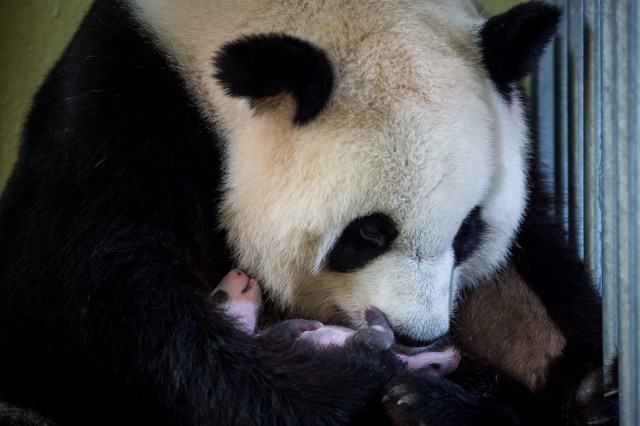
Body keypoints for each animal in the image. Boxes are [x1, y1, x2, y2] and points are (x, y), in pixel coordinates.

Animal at [0, 0, 616, 424]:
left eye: (468, 231)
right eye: (369, 232)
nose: (417, 336)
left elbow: (545, 313)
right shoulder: (121, 109)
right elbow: (96, 305)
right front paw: (350, 371)